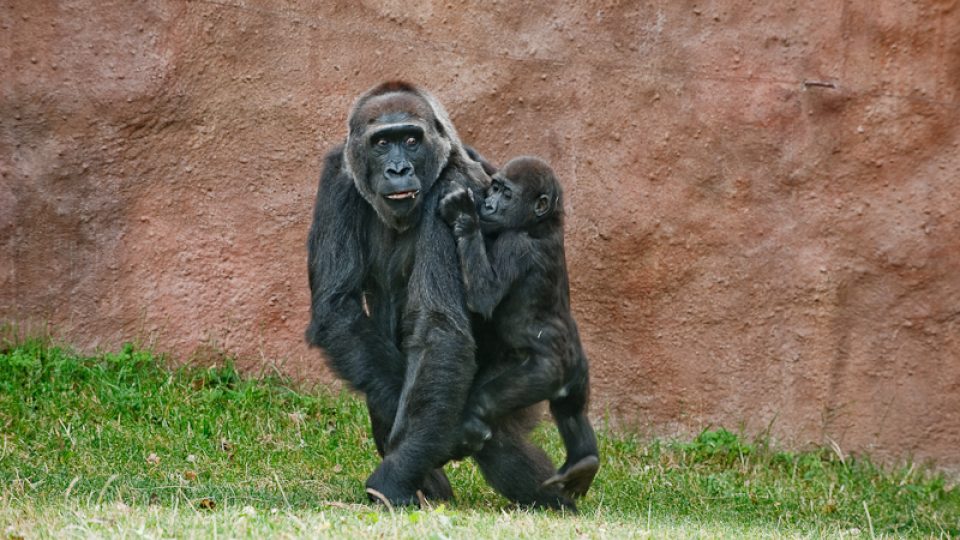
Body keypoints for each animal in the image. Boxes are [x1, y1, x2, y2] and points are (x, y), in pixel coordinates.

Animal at [306, 81, 568, 510]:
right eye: (382, 143)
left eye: (412, 140)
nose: (398, 170)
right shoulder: (337, 174)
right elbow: (337, 304)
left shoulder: (455, 190)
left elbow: (439, 329)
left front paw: (395, 475)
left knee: (502, 444)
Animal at [440, 156, 600, 498]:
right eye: (494, 187)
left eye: (506, 194)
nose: (487, 204)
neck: (541, 224)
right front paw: (476, 159)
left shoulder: (516, 245)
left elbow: (484, 297)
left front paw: (465, 216)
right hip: (576, 371)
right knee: (572, 412)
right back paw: (585, 461)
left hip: (545, 372)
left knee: (488, 401)